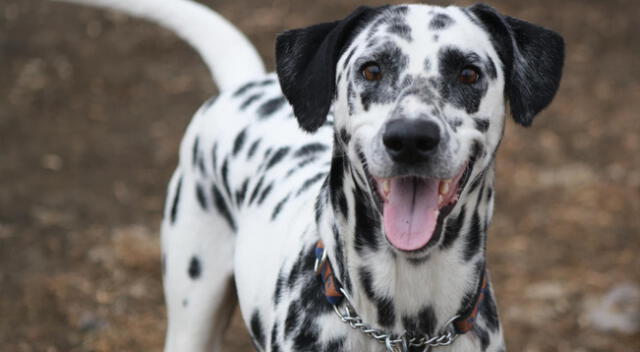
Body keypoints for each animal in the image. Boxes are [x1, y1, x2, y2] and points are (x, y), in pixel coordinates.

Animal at [58, 0, 560, 352]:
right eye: (371, 69)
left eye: (469, 73)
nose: (411, 138)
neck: (404, 325)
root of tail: (244, 82)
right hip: (191, 309)